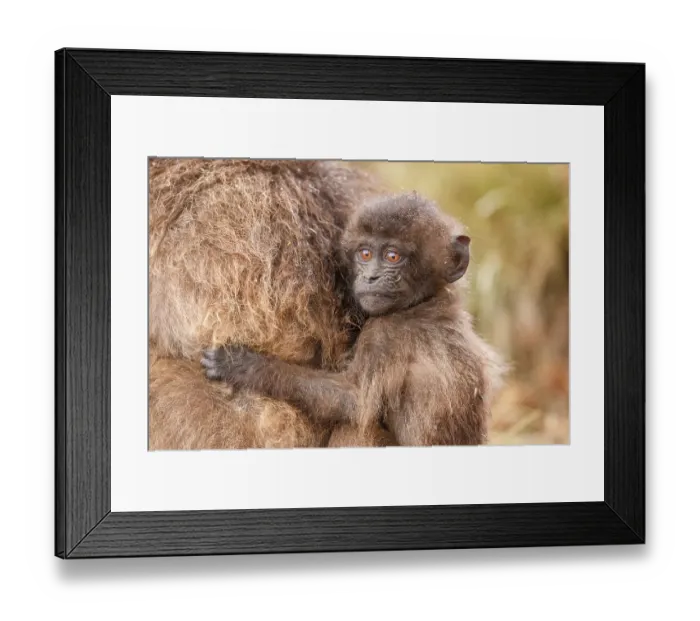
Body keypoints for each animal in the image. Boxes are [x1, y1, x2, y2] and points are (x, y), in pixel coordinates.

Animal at [201, 192, 504, 447]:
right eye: (365, 254)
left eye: (392, 256)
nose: (370, 277)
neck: (427, 302)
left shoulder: (385, 332)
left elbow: (353, 400)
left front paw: (246, 366)